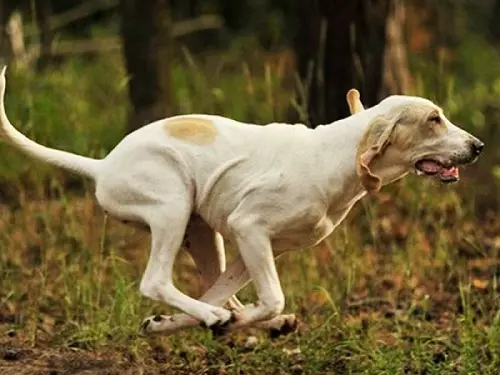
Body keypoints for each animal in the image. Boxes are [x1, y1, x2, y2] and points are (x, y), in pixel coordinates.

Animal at [0, 66, 484, 336]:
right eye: (434, 119)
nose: (478, 147)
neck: (337, 155)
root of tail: (103, 167)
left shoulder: (261, 244)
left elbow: (234, 296)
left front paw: (168, 326)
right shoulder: (250, 229)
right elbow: (272, 298)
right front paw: (226, 321)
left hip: (202, 233)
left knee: (214, 294)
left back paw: (225, 321)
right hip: (172, 206)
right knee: (156, 282)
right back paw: (222, 320)